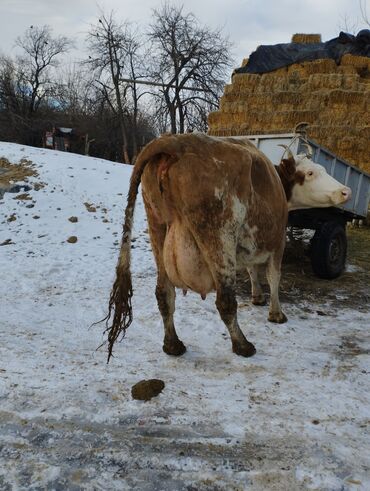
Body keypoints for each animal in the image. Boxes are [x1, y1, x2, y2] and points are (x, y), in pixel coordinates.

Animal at [102, 134, 352, 362]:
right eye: (310, 173)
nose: (345, 191)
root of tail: (174, 141)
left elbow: (252, 269)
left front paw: (257, 297)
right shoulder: (278, 240)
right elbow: (273, 276)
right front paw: (276, 313)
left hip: (157, 228)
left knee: (165, 293)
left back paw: (173, 344)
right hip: (219, 236)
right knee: (225, 300)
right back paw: (243, 345)